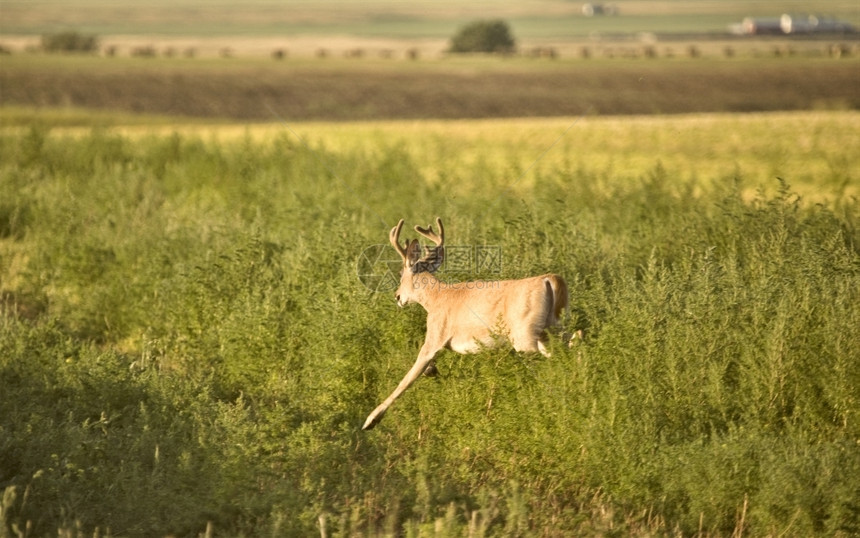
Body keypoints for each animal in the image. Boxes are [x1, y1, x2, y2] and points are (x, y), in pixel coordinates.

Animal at [362, 216, 572, 430]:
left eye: (400, 273)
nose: (397, 296)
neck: (436, 299)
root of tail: (550, 279)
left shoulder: (434, 336)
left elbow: (407, 379)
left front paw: (371, 419)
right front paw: (432, 371)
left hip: (525, 334)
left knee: (556, 350)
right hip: (554, 325)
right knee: (573, 340)